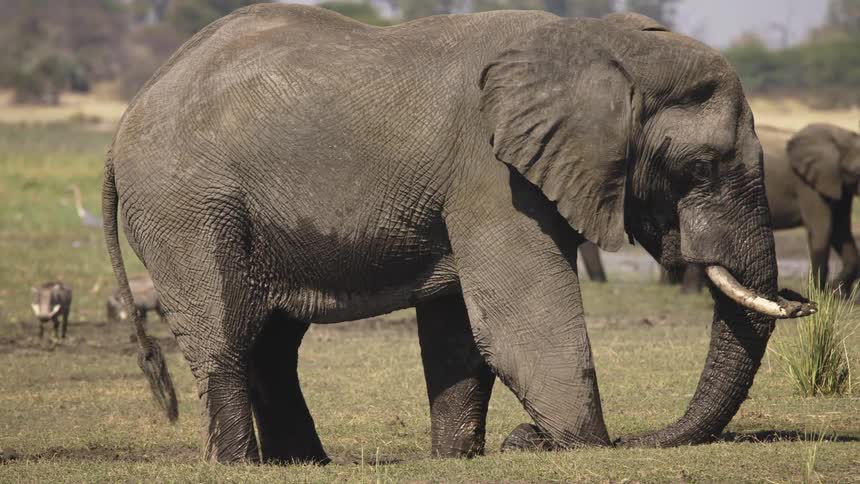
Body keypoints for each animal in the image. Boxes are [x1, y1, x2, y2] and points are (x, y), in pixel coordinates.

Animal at [102, 5, 814, 464]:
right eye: (701, 168)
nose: (803, 302)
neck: (597, 44)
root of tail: (123, 125)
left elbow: (459, 333)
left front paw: (458, 457)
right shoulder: (490, 173)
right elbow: (518, 325)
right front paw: (578, 446)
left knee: (273, 344)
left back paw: (303, 465)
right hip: (188, 207)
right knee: (225, 334)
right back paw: (240, 465)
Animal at [668, 123, 860, 294]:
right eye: (857, 172)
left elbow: (840, 230)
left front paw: (837, 293)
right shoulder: (807, 185)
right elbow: (822, 230)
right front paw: (822, 292)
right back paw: (690, 294)